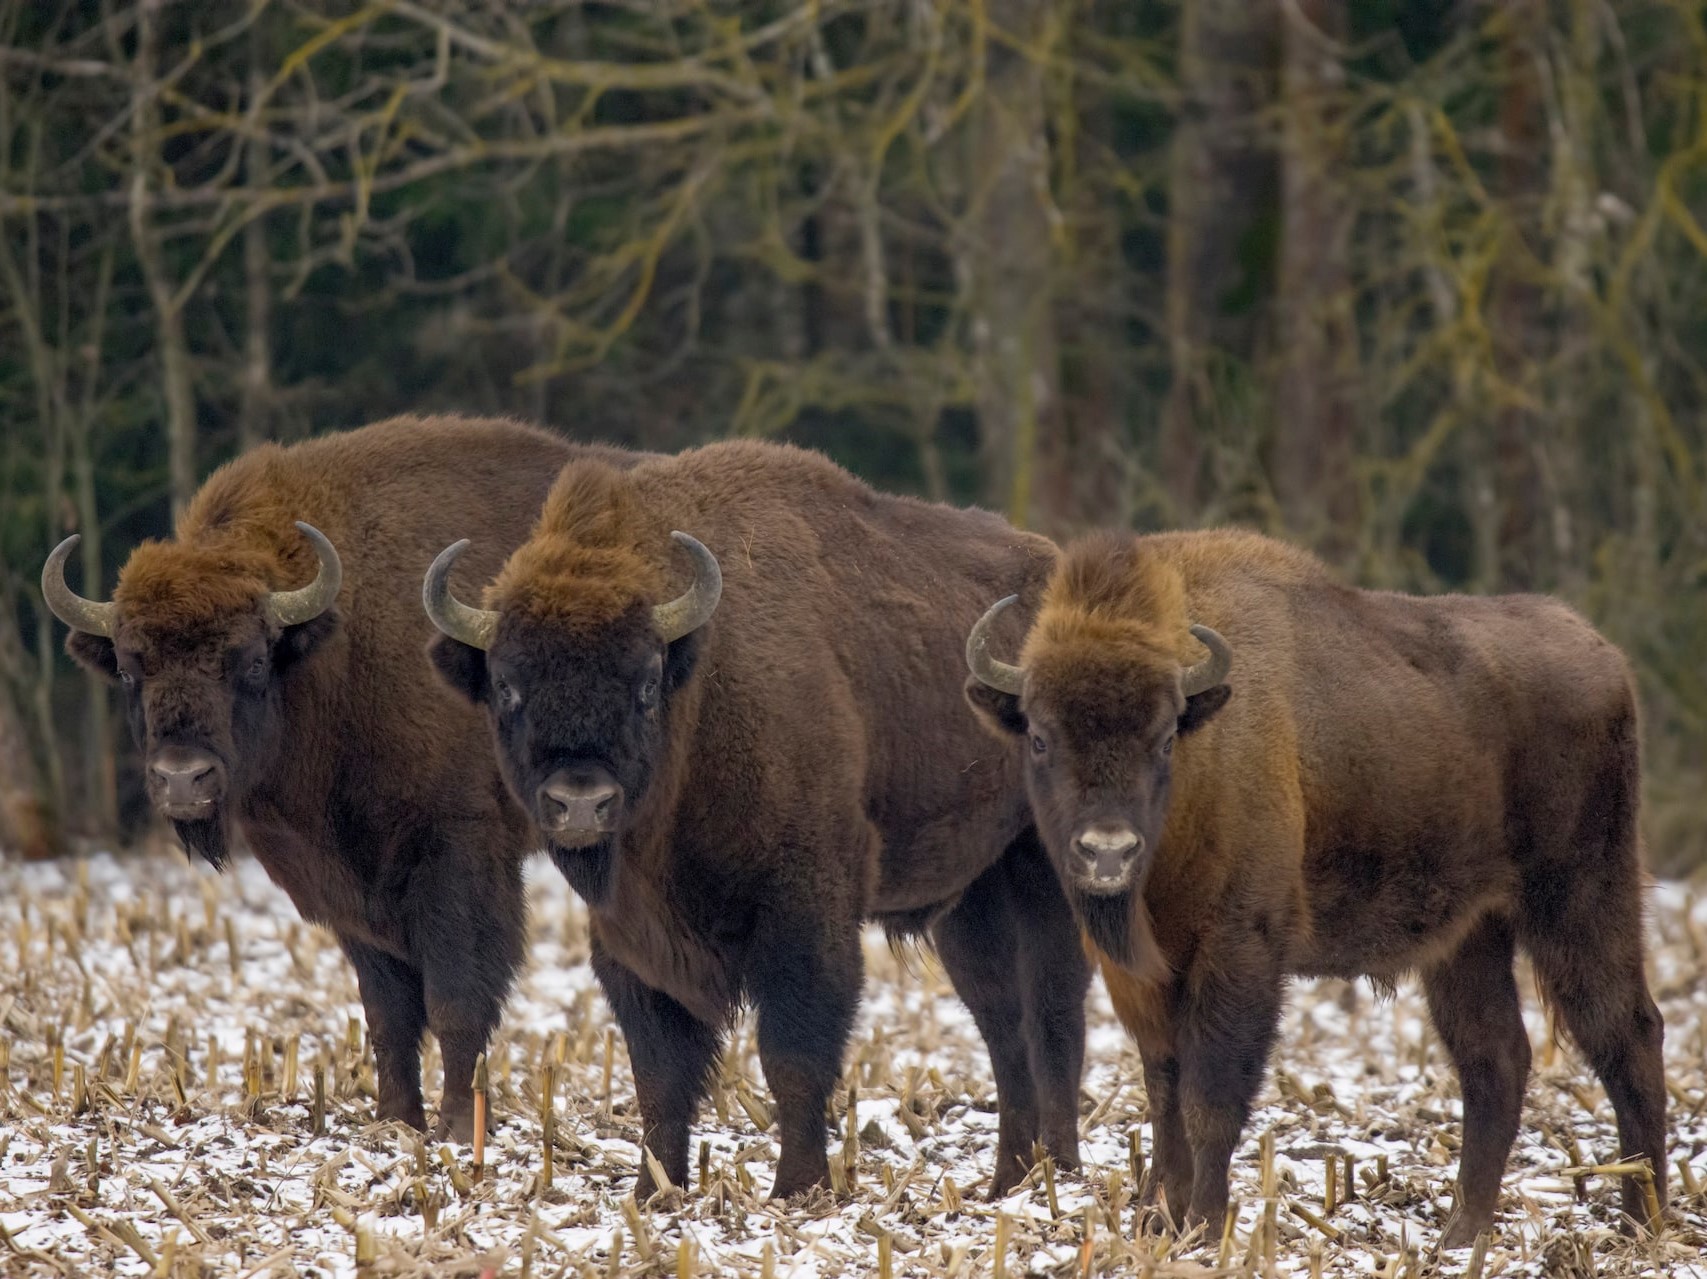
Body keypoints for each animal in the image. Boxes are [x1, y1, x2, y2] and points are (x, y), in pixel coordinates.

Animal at [43, 414, 631, 1133]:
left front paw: (456, 1125)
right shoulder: (348, 882)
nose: (183, 779)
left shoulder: (458, 851)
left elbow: (456, 999)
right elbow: (386, 1013)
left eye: (251, 660)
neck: (337, 645)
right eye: (130, 668)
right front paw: (396, 1119)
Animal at [426, 440, 1092, 1195]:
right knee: (1002, 1021)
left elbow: (793, 1052)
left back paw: (1060, 1168)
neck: (702, 688)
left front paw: (797, 1186)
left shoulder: (806, 906)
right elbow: (659, 1069)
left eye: (646, 682)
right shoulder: (631, 936)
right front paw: (656, 1189)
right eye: (506, 684)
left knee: (1055, 1011)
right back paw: (1010, 1177)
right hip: (971, 897)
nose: (581, 801)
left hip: (1045, 873)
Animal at [962, 529, 1666, 1249]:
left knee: (1627, 1032)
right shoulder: (1140, 975)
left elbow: (1209, 1096)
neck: (1203, 753)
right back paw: (1461, 1232)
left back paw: (1642, 1219)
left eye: (1162, 738)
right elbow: (1162, 1090)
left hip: (1581, 897)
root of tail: (1601, 652)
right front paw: (1158, 1221)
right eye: (1039, 736)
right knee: (1494, 1056)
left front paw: (1205, 1225)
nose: (1107, 850)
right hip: (1471, 935)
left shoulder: (1240, 949)